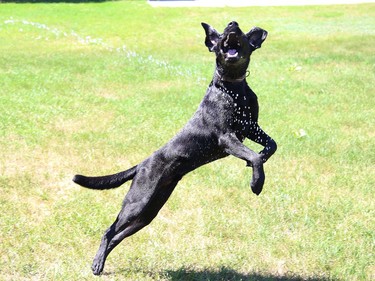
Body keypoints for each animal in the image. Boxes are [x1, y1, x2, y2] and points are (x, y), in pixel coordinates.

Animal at [74, 21, 276, 274]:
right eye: (221, 34)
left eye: (238, 31)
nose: (232, 24)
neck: (233, 88)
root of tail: (140, 165)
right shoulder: (227, 138)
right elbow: (255, 156)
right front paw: (257, 182)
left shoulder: (251, 128)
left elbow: (271, 145)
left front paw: (260, 159)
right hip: (137, 203)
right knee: (108, 231)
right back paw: (97, 264)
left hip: (149, 212)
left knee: (116, 236)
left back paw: (100, 262)